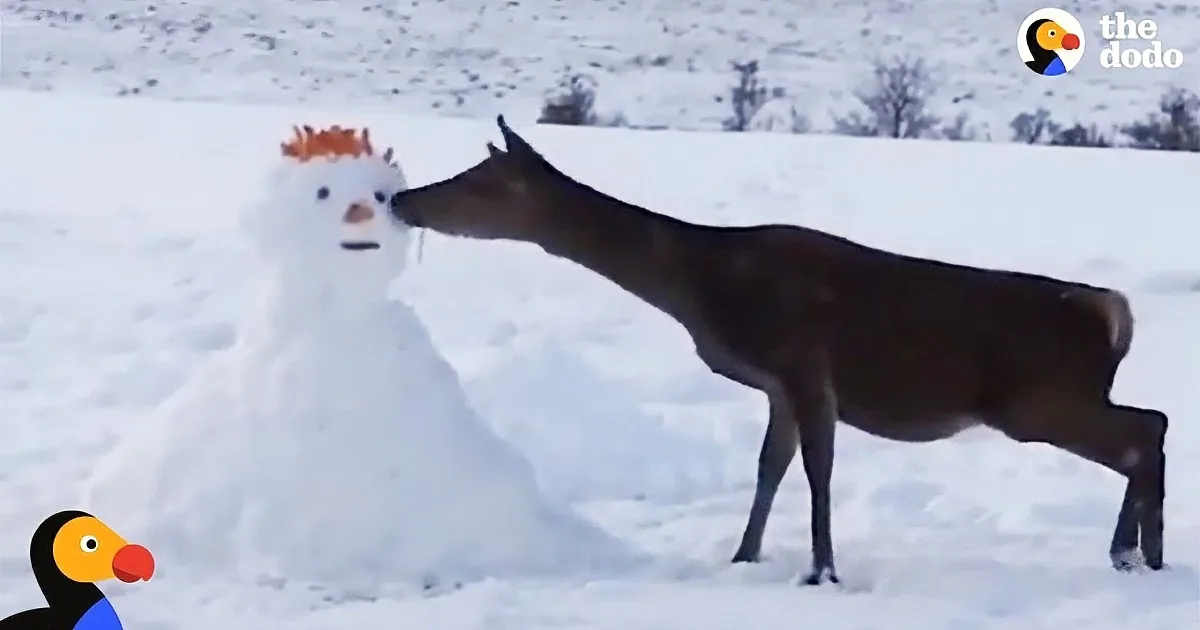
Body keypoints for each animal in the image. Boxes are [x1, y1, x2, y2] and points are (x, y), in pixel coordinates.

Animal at [388, 115, 1168, 586]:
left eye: (479, 182)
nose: (401, 201)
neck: (706, 288)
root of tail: (1113, 314)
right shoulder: (776, 384)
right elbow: (770, 468)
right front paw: (744, 555)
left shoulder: (804, 364)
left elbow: (818, 471)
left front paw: (821, 571)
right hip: (1051, 397)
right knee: (1151, 424)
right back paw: (1137, 555)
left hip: (1034, 397)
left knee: (1144, 431)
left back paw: (1133, 553)